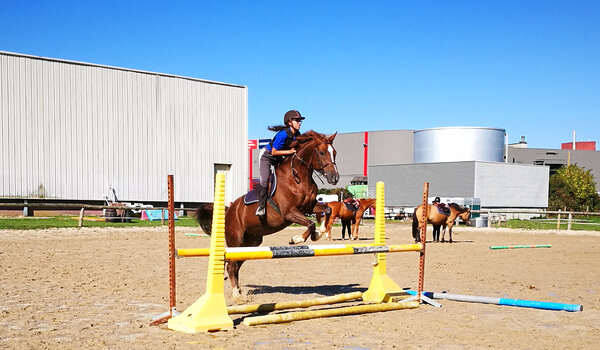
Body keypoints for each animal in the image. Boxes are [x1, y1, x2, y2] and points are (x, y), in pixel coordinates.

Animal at [196, 130, 338, 296]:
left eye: (335, 152)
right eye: (322, 152)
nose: (335, 178)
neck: (299, 177)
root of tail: (229, 210)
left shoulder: (309, 208)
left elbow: (327, 210)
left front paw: (318, 234)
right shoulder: (289, 212)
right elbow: (310, 224)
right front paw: (296, 239)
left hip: (251, 243)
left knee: (236, 264)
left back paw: (239, 290)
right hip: (235, 240)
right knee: (231, 265)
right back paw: (236, 294)